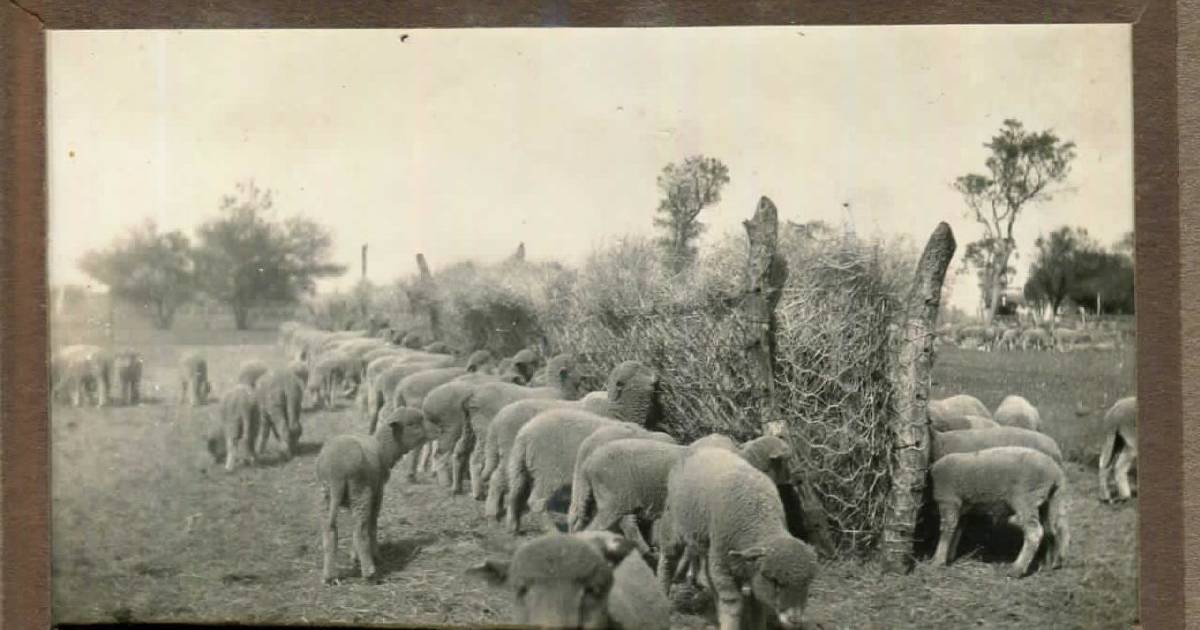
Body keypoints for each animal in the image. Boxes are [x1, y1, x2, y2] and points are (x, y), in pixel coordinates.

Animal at [316, 405, 434, 583]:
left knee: (329, 529)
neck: (385, 448)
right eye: (412, 423)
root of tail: (336, 470)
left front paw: (354, 556)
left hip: (327, 494)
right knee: (361, 528)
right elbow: (373, 521)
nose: (438, 428)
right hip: (360, 490)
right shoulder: (377, 492)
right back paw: (370, 571)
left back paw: (329, 576)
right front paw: (373, 555)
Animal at [652, 446, 820, 628]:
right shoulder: (723, 564)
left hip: (706, 543)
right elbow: (733, 604)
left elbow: (758, 606)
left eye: (807, 582)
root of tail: (701, 448)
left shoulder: (751, 569)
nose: (794, 619)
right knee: (667, 562)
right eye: (774, 580)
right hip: (673, 523)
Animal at [926, 444, 1070, 578]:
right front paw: (949, 556)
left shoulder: (948, 499)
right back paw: (1049, 564)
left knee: (1035, 532)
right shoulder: (964, 507)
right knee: (1052, 529)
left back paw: (1016, 569)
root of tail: (1055, 472)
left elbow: (947, 530)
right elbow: (957, 530)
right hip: (1049, 501)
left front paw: (937, 560)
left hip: (1026, 498)